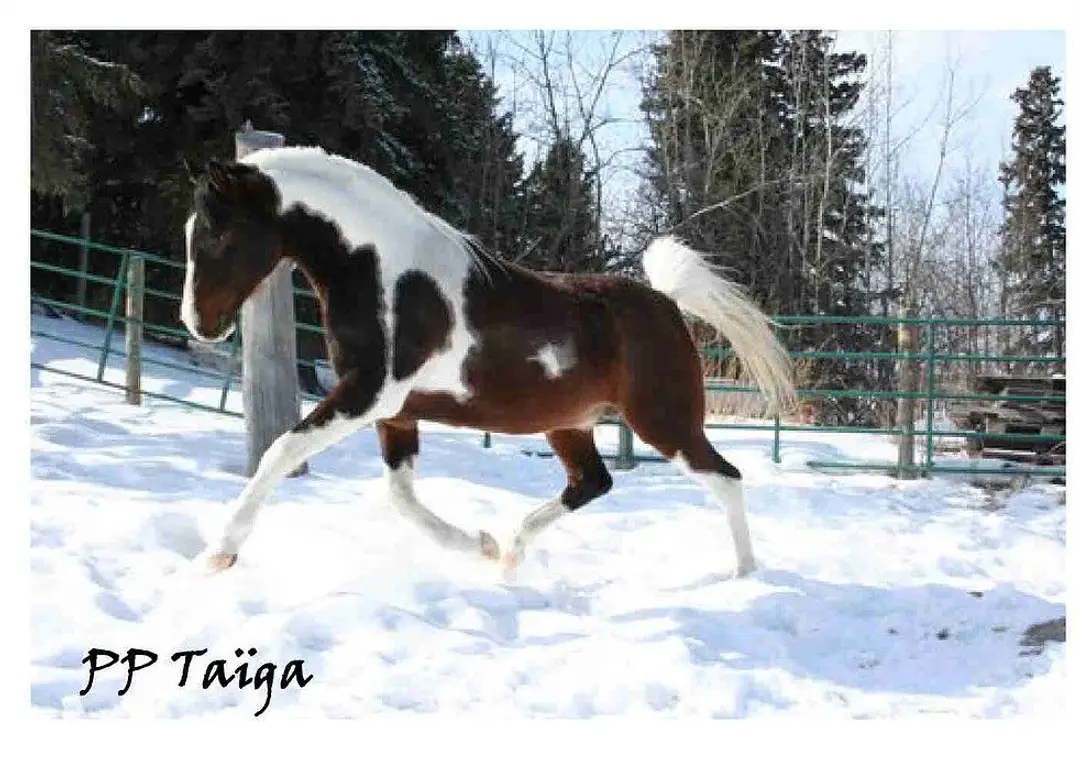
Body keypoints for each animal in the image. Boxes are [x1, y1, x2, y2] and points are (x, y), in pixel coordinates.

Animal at [180, 146, 795, 579]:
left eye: (217, 234)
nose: (197, 323)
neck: (385, 274)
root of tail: (667, 303)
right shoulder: (395, 412)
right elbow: (401, 497)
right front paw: (478, 545)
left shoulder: (367, 394)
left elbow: (279, 452)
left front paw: (218, 555)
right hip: (569, 424)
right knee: (592, 483)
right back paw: (511, 554)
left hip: (662, 421)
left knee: (726, 478)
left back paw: (743, 575)